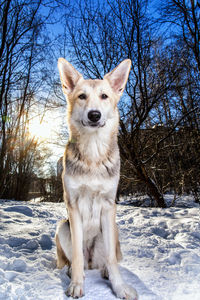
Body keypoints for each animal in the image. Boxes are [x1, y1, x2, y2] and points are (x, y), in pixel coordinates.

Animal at [55, 57, 138, 298]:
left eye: (104, 96)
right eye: (82, 96)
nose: (94, 114)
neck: (93, 153)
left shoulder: (109, 205)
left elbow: (111, 259)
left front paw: (119, 287)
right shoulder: (72, 205)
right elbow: (77, 257)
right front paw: (76, 284)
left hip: (113, 230)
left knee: (107, 261)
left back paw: (105, 273)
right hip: (63, 227)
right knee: (74, 261)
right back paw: (72, 272)